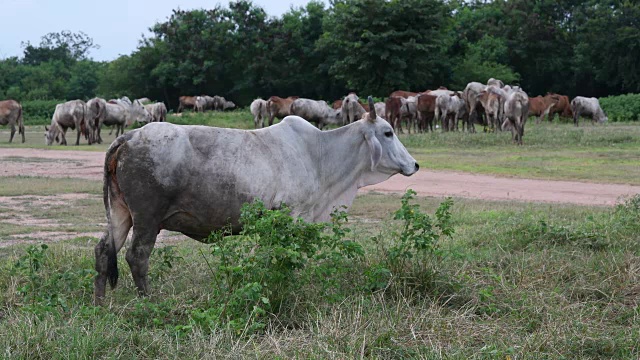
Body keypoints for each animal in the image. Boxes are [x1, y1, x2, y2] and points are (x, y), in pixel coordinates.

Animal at [92, 97, 418, 300]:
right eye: (388, 132)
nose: (414, 165)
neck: (319, 153)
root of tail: (129, 136)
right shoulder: (293, 214)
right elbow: (288, 258)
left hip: (120, 212)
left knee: (104, 250)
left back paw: (100, 302)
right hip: (147, 218)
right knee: (137, 256)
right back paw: (148, 301)